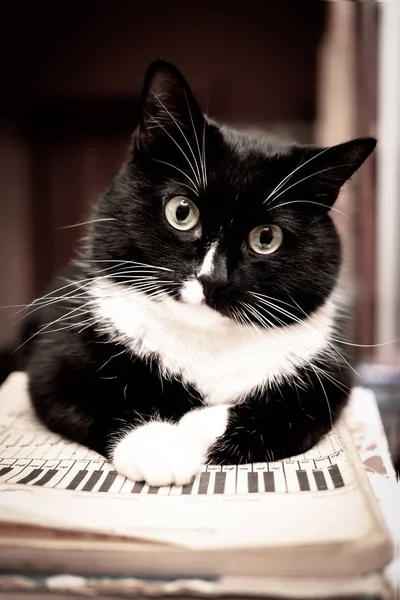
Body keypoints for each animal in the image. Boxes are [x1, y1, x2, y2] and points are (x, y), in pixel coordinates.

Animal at [23, 61, 376, 486]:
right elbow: (85, 394)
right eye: (181, 212)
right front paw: (160, 447)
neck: (205, 342)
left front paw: (195, 426)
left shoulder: (327, 376)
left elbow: (293, 412)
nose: (213, 279)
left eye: (266, 237)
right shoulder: (56, 356)